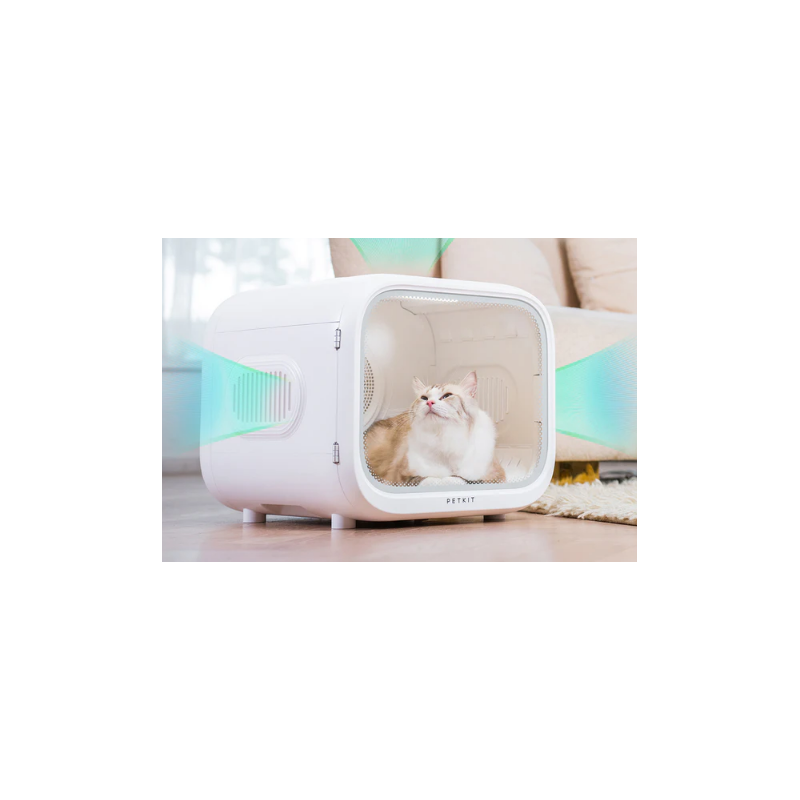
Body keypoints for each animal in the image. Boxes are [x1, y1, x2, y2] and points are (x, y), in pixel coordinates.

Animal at [364, 371, 506, 486]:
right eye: (424, 398)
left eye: (447, 396)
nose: (429, 402)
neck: (442, 437)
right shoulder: (399, 477)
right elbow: (426, 479)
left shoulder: (495, 475)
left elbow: (462, 478)